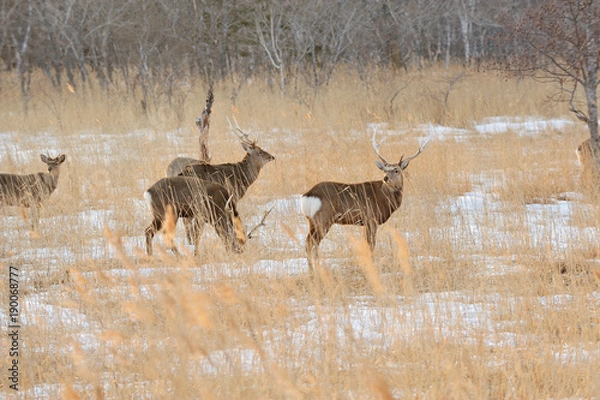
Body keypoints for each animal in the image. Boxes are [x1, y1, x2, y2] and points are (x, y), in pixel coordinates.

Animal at [300, 128, 432, 270]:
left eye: (396, 170)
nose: (385, 178)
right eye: (385, 170)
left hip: (312, 221)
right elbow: (371, 245)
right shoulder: (371, 218)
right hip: (323, 219)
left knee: (309, 243)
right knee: (311, 243)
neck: (384, 197)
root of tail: (307, 196)